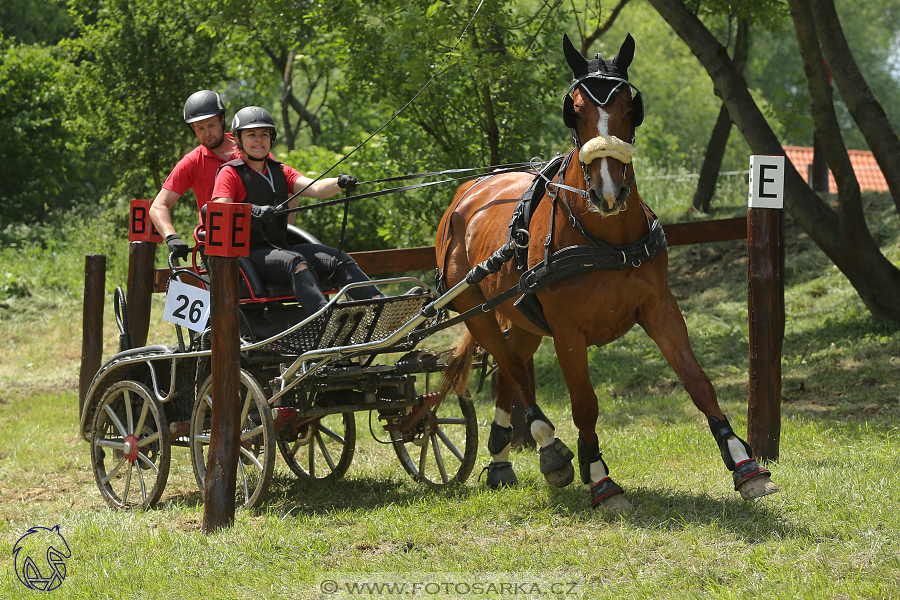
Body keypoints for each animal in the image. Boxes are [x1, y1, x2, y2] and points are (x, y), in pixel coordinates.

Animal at [432, 32, 776, 510]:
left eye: (631, 108)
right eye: (574, 110)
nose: (608, 193)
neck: (605, 241)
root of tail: (467, 193)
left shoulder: (659, 308)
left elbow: (698, 381)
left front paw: (744, 463)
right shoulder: (568, 332)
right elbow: (585, 405)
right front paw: (599, 476)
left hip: (522, 315)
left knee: (509, 369)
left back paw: (504, 458)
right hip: (474, 309)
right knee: (512, 366)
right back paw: (549, 446)